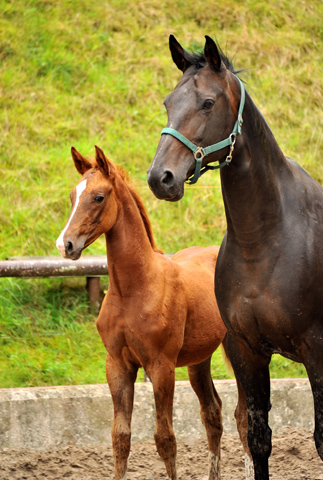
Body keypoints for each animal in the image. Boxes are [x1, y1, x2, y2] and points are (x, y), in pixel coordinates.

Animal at [55, 145, 248, 480]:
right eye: (72, 195)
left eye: (98, 197)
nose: (65, 245)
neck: (134, 290)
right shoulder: (117, 365)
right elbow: (120, 437)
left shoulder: (161, 366)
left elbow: (165, 439)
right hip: (199, 360)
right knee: (213, 414)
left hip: (238, 351)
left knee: (245, 416)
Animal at [148, 36, 323, 480]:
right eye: (168, 102)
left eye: (208, 103)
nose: (160, 178)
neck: (264, 241)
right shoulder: (247, 352)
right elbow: (258, 439)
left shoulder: (317, 349)